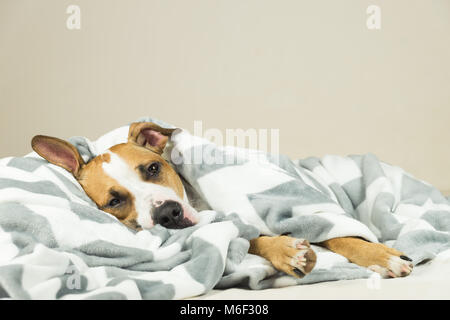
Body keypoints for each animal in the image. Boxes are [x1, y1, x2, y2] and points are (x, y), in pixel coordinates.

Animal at [29, 121, 414, 278]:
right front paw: (285, 250)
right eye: (114, 202)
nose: (168, 213)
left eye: (153, 168)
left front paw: (380, 256)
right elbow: (253, 237)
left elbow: (338, 234)